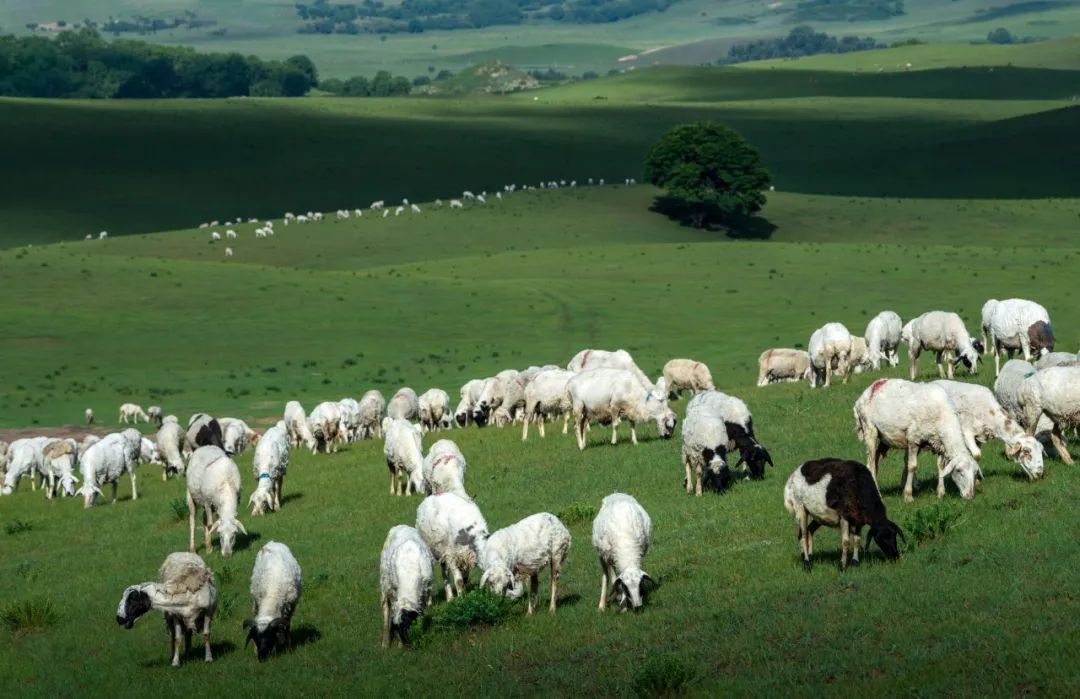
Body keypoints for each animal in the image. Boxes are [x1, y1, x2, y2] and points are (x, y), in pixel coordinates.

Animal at [855, 378, 984, 503]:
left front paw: (941, 492)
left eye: (975, 473)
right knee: (870, 464)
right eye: (958, 471)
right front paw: (908, 496)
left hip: (885, 437)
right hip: (869, 428)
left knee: (876, 460)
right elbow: (912, 466)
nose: (969, 496)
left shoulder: (939, 442)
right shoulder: (914, 439)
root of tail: (869, 390)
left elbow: (941, 466)